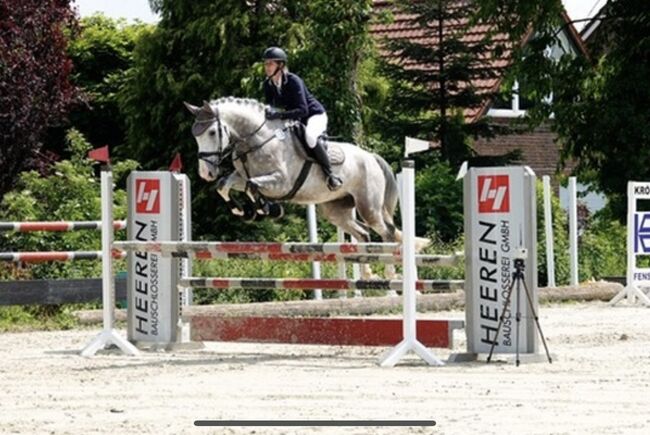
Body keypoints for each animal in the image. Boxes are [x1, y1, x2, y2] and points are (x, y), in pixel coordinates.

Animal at [184, 97, 426, 278]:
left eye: (212, 132)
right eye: (194, 136)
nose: (205, 173)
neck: (257, 140)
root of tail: (371, 157)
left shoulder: (280, 182)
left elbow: (254, 187)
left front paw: (268, 209)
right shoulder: (242, 177)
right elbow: (224, 186)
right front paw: (242, 210)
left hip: (369, 206)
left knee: (388, 232)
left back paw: (390, 275)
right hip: (336, 209)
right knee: (363, 234)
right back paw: (367, 273)